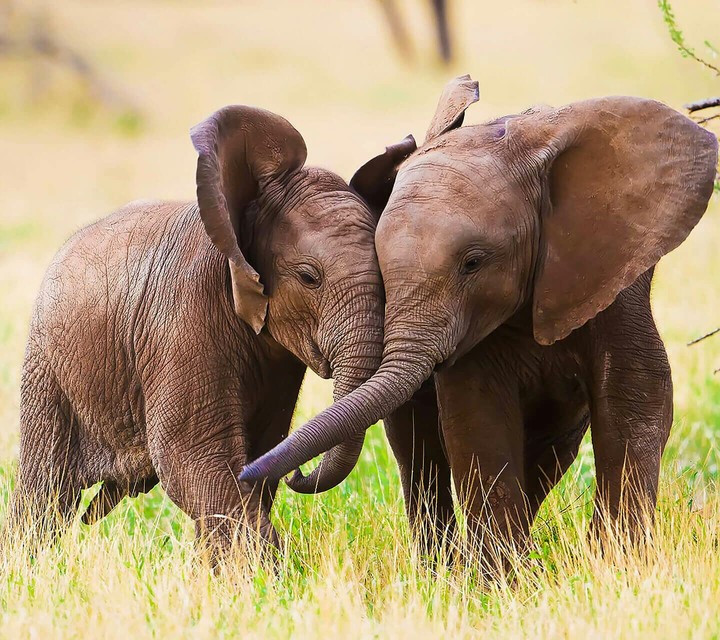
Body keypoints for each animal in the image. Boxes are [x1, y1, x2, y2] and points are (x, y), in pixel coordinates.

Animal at [6, 104, 395, 554]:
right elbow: (196, 459)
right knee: (46, 491)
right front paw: (268, 570)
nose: (300, 474)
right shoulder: (184, 320)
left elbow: (258, 451)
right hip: (48, 367)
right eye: (309, 278)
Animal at [241, 76, 719, 560]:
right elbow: (477, 412)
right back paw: (442, 565)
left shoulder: (614, 276)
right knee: (418, 448)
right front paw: (502, 575)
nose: (289, 475)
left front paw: (616, 562)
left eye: (473, 263)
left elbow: (635, 394)